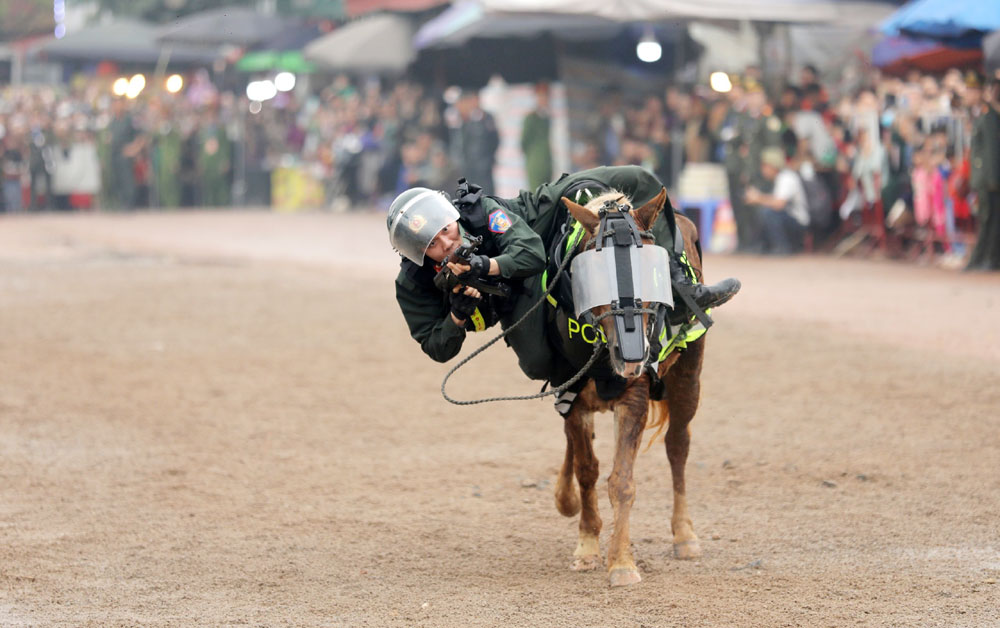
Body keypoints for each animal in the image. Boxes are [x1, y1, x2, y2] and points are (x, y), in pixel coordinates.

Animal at [552, 188, 708, 588]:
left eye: (650, 271)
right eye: (596, 273)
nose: (633, 356)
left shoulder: (634, 397)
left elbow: (621, 481)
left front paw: (621, 562)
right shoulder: (573, 397)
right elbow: (587, 469)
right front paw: (587, 545)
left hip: (688, 378)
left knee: (678, 445)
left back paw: (685, 535)